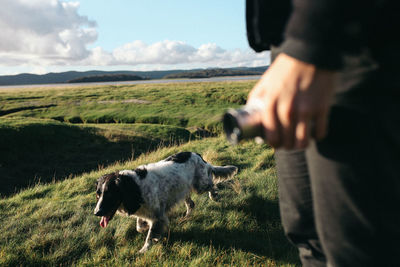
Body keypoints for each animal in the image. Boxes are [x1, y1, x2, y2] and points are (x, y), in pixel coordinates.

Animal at [94, 153, 238, 253]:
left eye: (110, 194)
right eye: (98, 194)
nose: (96, 212)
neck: (134, 186)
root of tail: (198, 156)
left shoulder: (158, 215)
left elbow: (150, 235)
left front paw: (144, 250)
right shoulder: (146, 211)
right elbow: (139, 226)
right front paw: (146, 229)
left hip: (200, 185)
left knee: (212, 184)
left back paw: (214, 196)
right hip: (184, 189)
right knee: (191, 204)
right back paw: (186, 217)